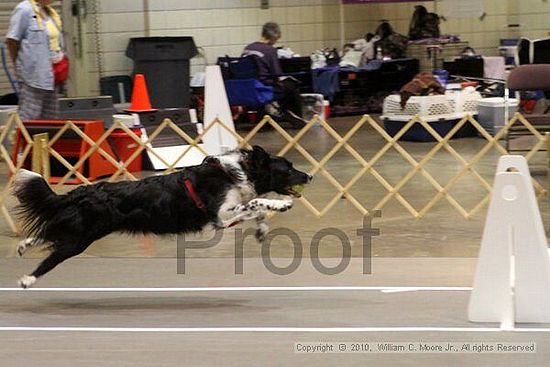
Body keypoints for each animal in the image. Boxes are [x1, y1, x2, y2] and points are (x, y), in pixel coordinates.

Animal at [12, 145, 312, 288]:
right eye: (288, 168)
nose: (309, 176)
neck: (235, 172)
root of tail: (84, 191)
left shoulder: (225, 219)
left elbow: (255, 209)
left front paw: (262, 230)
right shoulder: (221, 215)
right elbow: (258, 202)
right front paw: (280, 204)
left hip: (81, 231)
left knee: (47, 233)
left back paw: (23, 246)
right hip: (81, 238)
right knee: (52, 254)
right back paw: (27, 280)